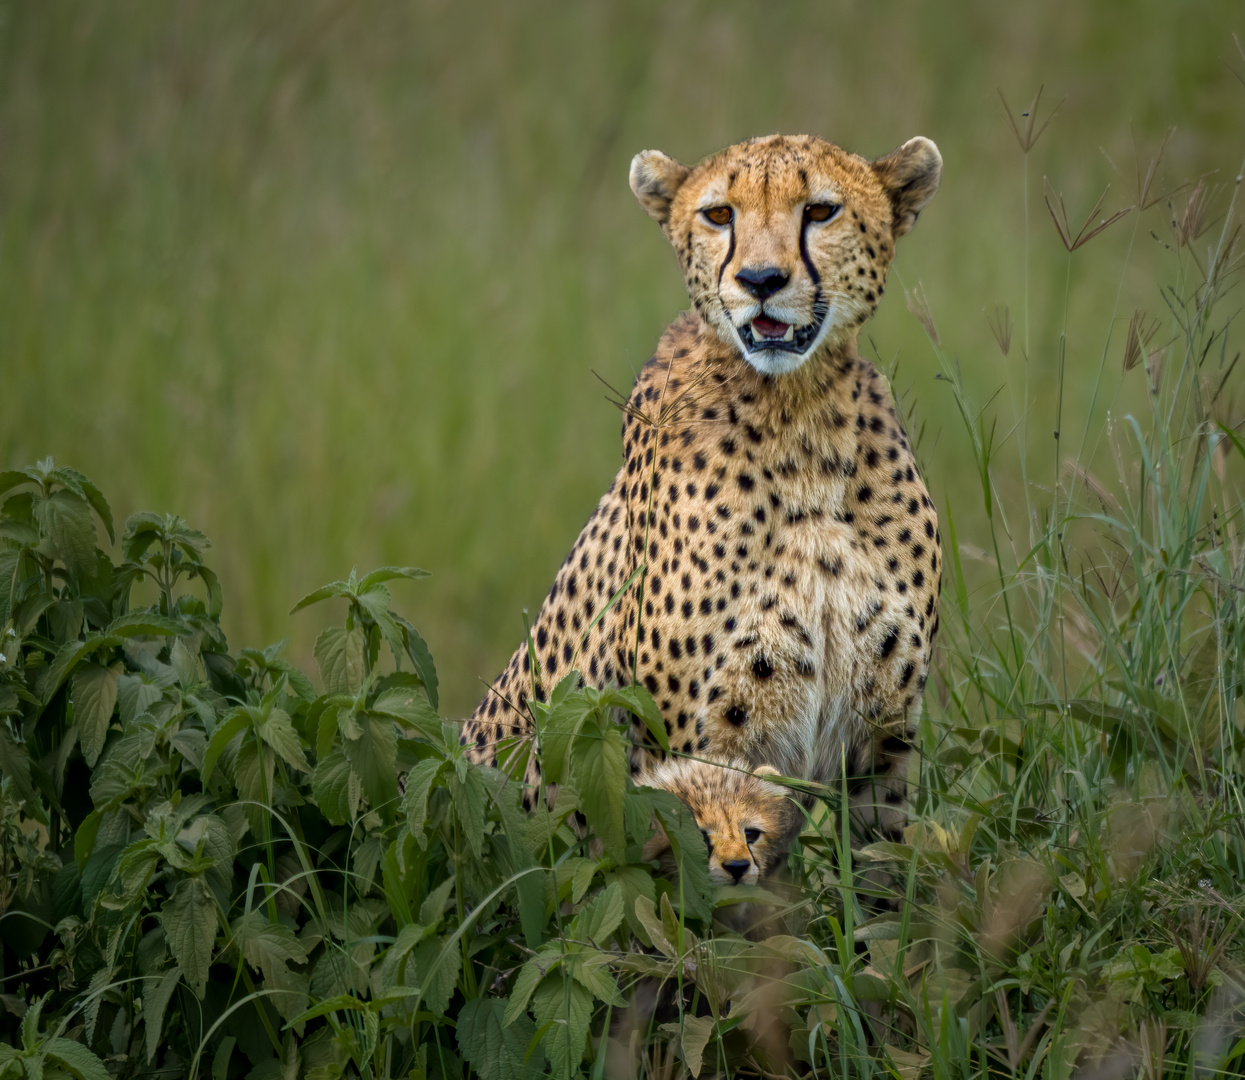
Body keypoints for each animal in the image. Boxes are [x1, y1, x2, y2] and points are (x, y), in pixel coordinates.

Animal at [465, 130, 941, 847]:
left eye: (820, 211)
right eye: (720, 215)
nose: (761, 281)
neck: (802, 418)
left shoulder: (881, 742)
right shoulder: (702, 750)